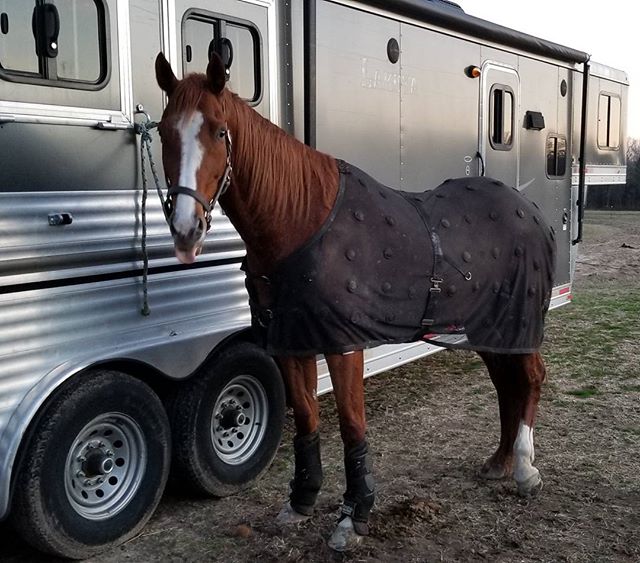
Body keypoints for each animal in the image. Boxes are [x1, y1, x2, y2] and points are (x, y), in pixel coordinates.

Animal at [154, 52, 556, 551]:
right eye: (163, 131)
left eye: (219, 131)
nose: (185, 230)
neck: (301, 221)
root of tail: (530, 211)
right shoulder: (292, 341)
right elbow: (307, 420)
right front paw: (301, 501)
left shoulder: (342, 344)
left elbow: (351, 425)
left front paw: (354, 516)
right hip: (489, 327)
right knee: (506, 384)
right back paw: (499, 462)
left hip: (519, 321)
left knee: (531, 379)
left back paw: (524, 469)